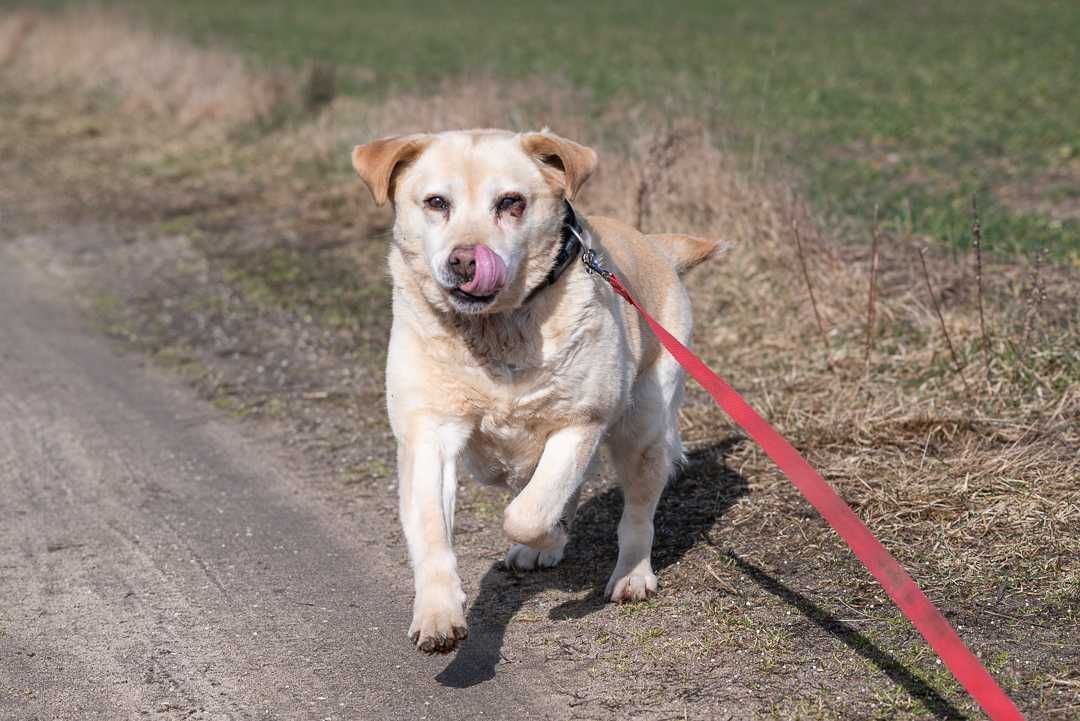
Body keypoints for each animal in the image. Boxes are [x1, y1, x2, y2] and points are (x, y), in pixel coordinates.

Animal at [349, 129, 717, 651]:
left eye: (511, 202)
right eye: (436, 202)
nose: (465, 261)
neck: (496, 330)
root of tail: (654, 247)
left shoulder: (579, 423)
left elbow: (527, 513)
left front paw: (548, 536)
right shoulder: (428, 434)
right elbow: (432, 531)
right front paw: (439, 614)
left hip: (642, 428)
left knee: (637, 513)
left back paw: (631, 575)